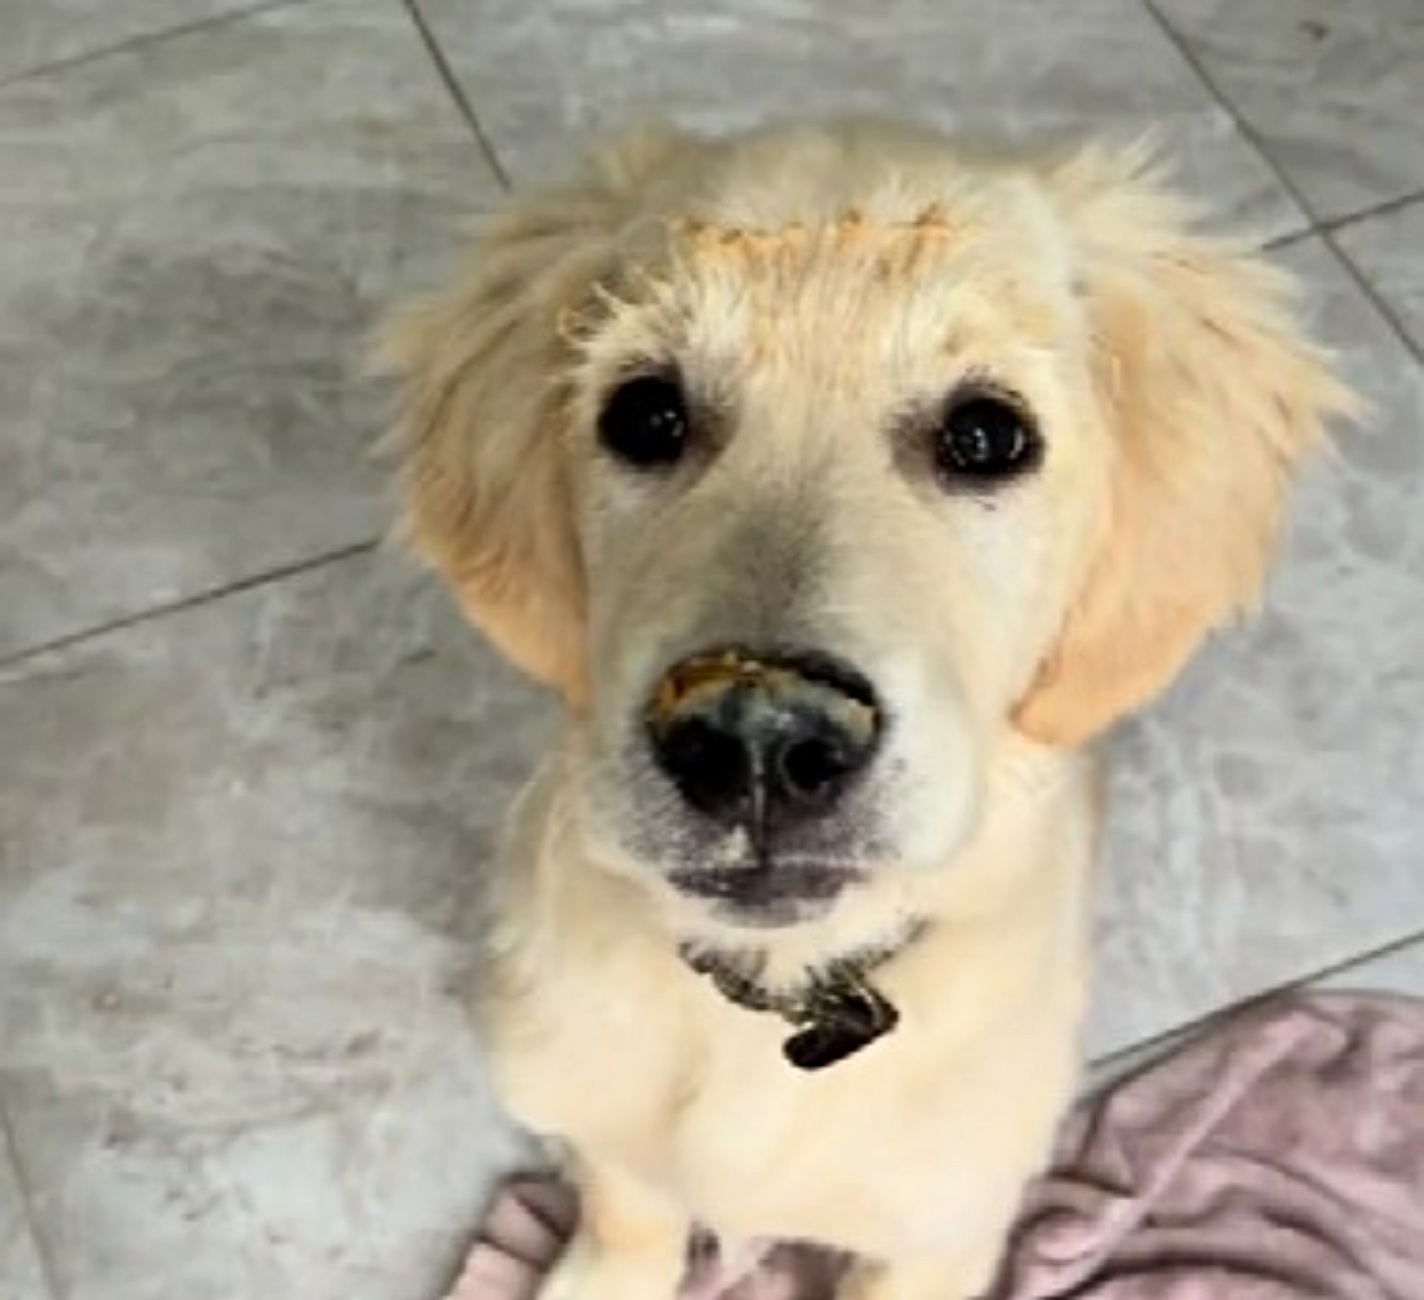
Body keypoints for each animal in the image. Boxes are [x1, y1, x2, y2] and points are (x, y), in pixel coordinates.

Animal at [384, 116, 1349, 1292]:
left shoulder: (943, 1225)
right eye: (645, 414)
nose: (754, 736)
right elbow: (629, 1207)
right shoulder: (593, 1111)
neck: (777, 998)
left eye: (985, 436)